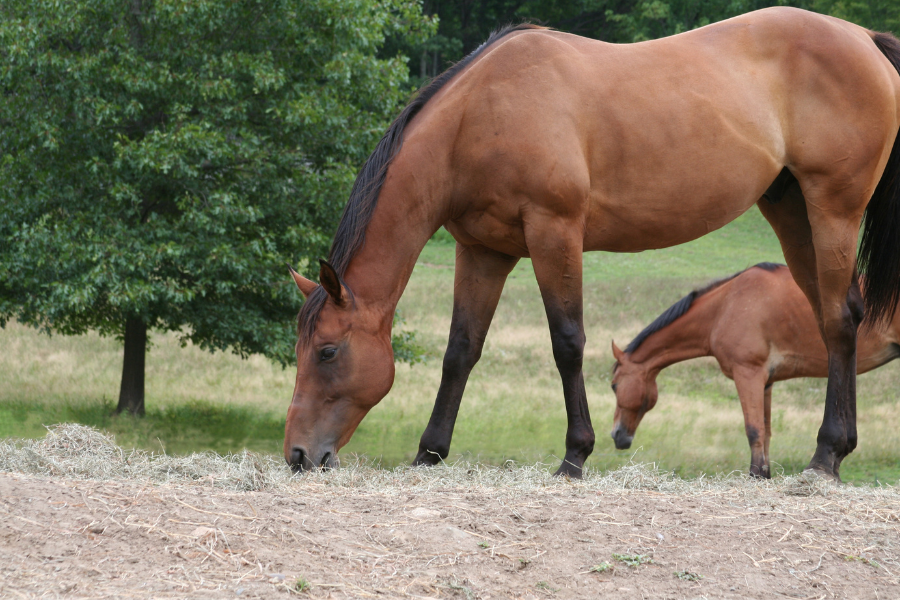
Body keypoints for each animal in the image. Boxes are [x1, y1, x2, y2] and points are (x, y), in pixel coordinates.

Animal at [608, 262, 896, 478]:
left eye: (613, 385)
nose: (617, 435)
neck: (725, 306)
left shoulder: (748, 374)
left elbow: (753, 429)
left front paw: (755, 474)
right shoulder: (766, 382)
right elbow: (766, 431)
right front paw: (764, 475)